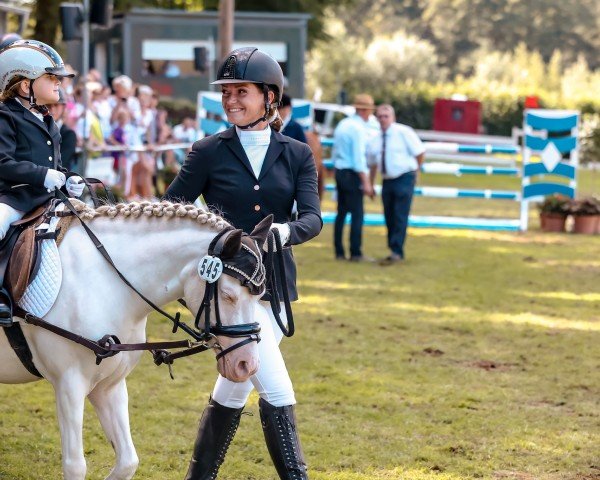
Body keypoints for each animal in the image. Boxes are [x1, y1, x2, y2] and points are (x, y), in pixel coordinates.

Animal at [0, 200, 268, 480]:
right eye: (227, 295)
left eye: (260, 296)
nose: (247, 365)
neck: (107, 285)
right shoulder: (69, 384)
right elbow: (75, 465)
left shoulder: (109, 385)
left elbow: (128, 461)